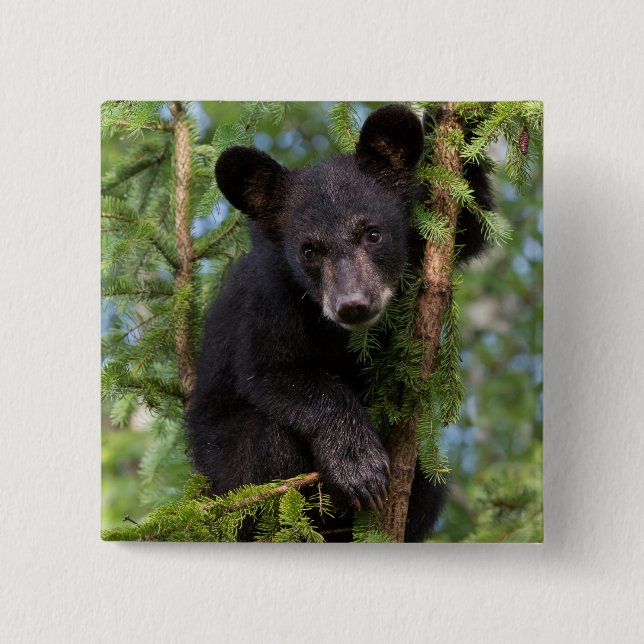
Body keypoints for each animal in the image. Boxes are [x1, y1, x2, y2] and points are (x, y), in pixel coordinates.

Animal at [186, 104, 490, 542]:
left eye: (373, 234)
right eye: (309, 250)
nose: (353, 305)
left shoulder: (424, 242)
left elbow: (468, 221)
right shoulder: (269, 300)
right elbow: (276, 372)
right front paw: (358, 467)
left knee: (429, 486)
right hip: (219, 467)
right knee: (258, 446)